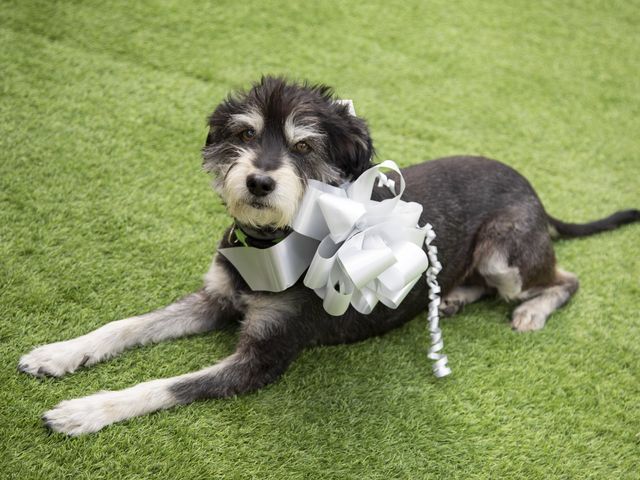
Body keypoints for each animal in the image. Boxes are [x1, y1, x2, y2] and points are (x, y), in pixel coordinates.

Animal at [17, 76, 636, 436]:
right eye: (244, 135)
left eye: (304, 146)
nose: (259, 181)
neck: (271, 244)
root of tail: (535, 191)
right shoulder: (215, 297)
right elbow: (126, 325)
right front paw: (58, 354)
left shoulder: (261, 360)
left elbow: (162, 386)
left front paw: (83, 411)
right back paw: (455, 295)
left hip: (506, 255)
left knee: (566, 278)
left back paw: (530, 310)